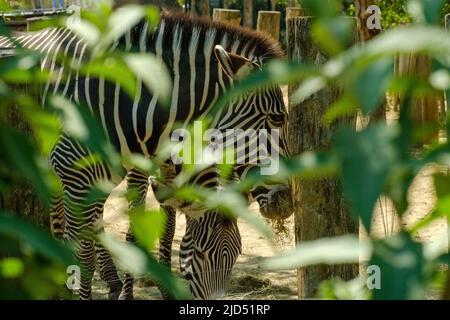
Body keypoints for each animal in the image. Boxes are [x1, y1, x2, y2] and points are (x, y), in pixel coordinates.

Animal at [0, 10, 294, 300]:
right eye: (278, 118)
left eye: (237, 254)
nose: (287, 204)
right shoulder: (77, 175)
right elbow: (83, 257)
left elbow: (160, 229)